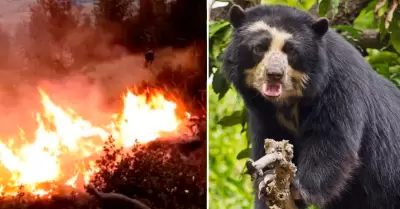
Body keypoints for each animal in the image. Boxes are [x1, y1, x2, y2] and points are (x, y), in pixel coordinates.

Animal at [223, 3, 400, 209]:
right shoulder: (263, 114)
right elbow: (269, 142)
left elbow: (330, 139)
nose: (274, 74)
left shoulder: (339, 85)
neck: (288, 102)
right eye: (259, 48)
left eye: (291, 51)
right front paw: (267, 182)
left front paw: (298, 189)